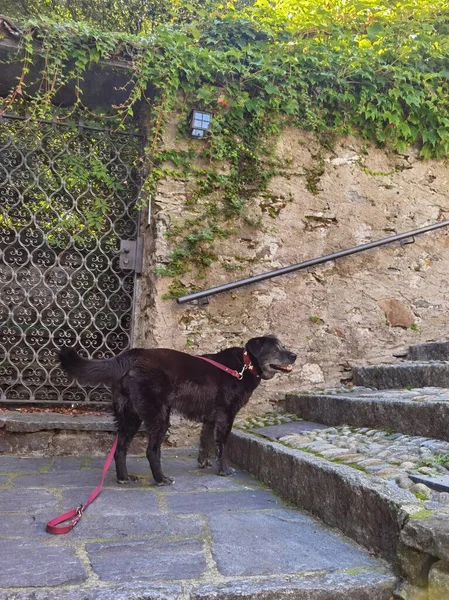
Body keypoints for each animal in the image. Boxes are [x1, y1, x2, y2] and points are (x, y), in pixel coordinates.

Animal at [60, 336, 298, 486]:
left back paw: (124, 478)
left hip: (130, 417)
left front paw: (203, 463)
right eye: (275, 349)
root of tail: (131, 356)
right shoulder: (226, 416)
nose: (294, 355)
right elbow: (222, 446)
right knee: (151, 451)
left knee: (120, 449)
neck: (244, 365)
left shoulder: (210, 419)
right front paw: (223, 470)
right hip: (159, 417)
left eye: (284, 346)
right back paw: (160, 479)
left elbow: (205, 443)